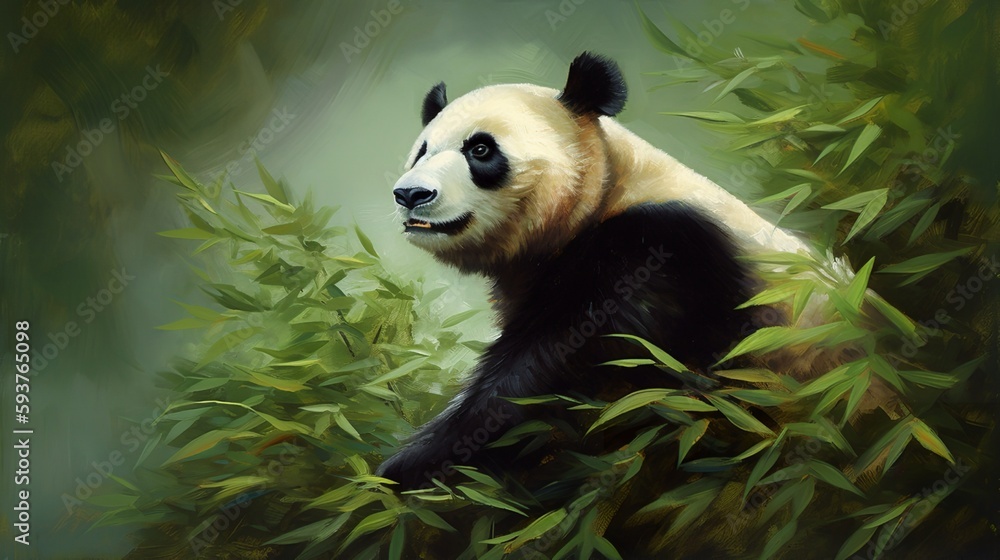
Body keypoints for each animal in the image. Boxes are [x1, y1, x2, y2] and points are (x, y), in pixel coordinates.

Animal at [376, 52, 823, 490]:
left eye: (481, 149)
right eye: (422, 151)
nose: (411, 193)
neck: (609, 191)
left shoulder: (658, 251)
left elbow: (553, 377)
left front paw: (408, 467)